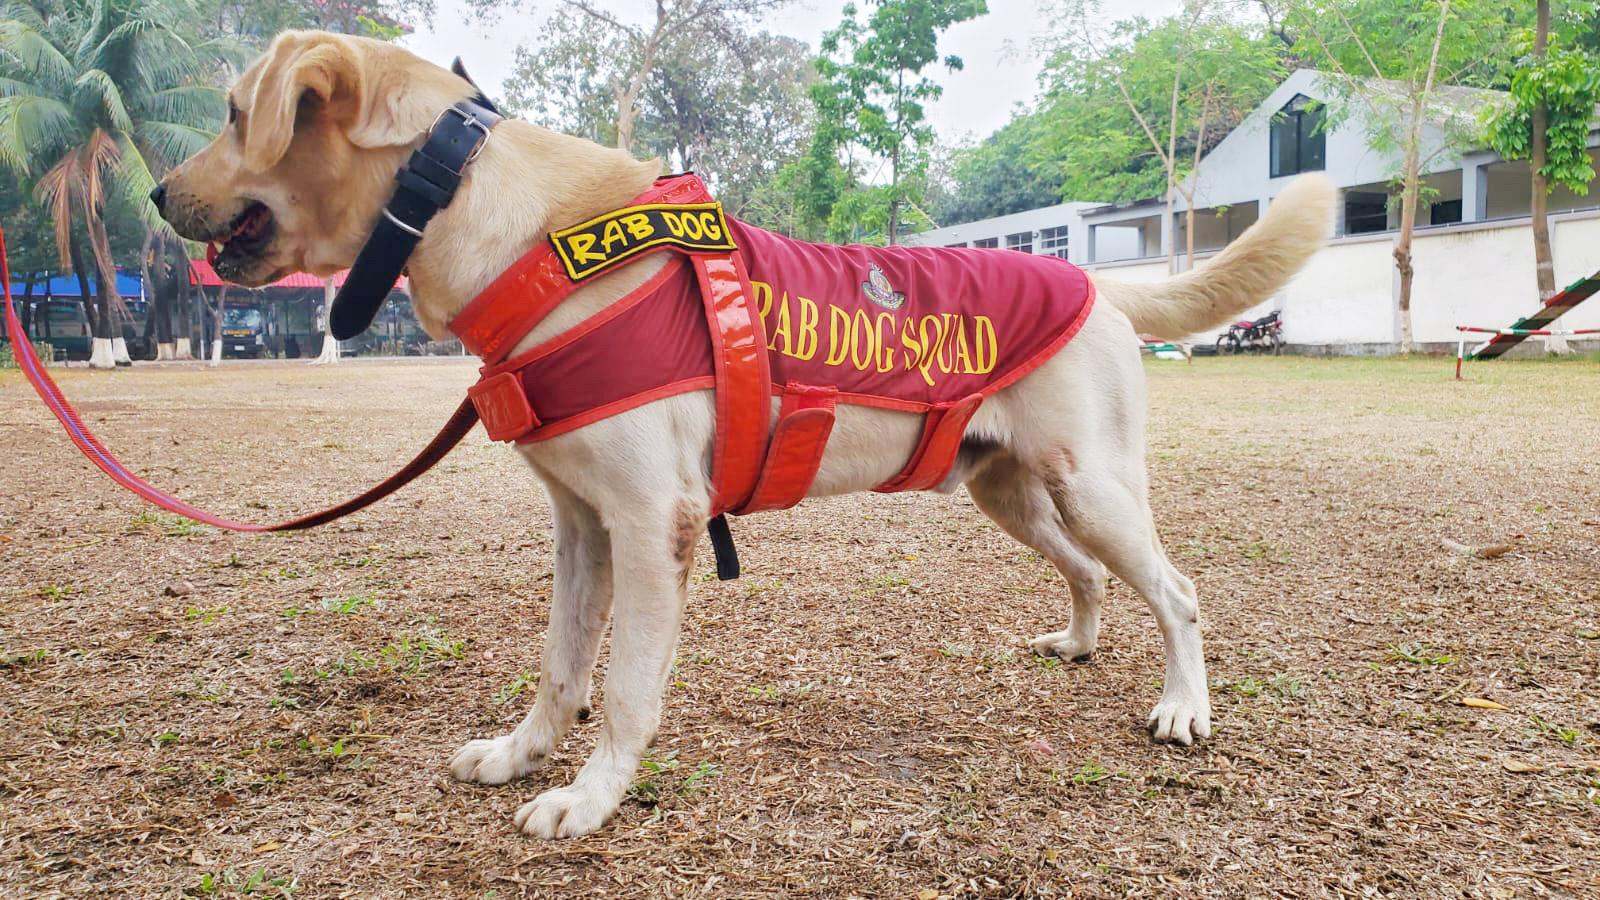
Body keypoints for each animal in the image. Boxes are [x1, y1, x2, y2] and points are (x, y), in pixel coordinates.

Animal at [159, 31, 1337, 839]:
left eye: (233, 111)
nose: (160, 192)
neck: (498, 222)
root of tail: (1093, 284)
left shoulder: (654, 524)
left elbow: (624, 688)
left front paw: (589, 798)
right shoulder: (580, 527)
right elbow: (559, 666)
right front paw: (521, 755)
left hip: (1092, 487)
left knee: (1177, 592)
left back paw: (1183, 707)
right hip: (1008, 490)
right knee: (1089, 576)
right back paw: (1082, 641)